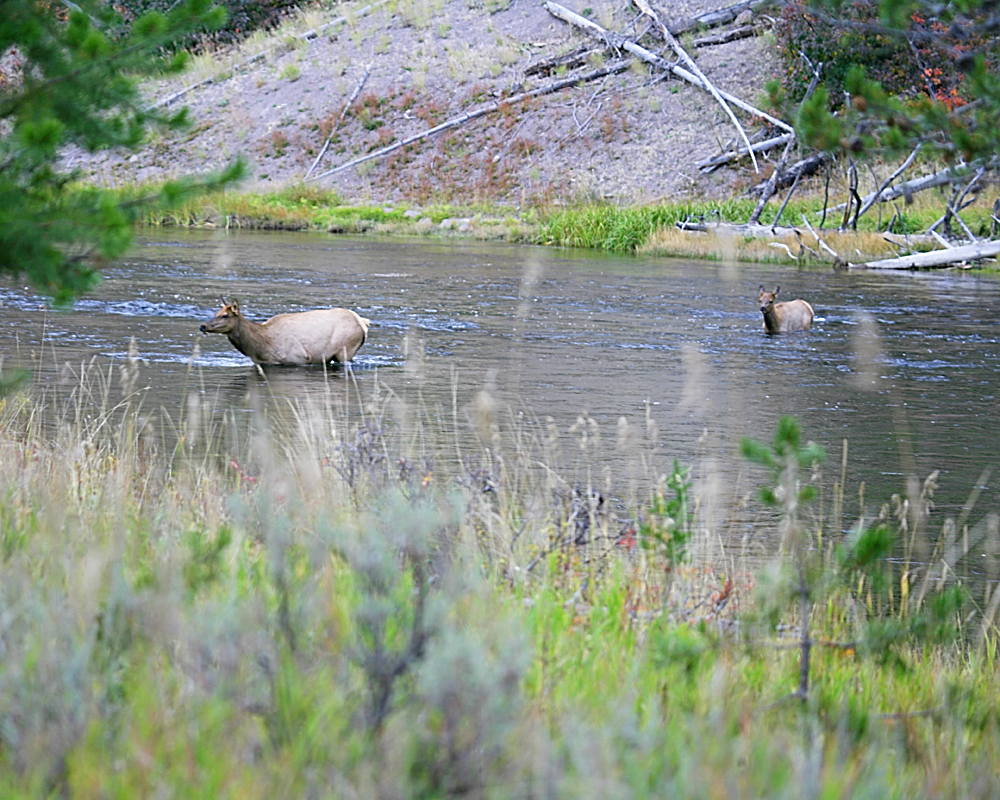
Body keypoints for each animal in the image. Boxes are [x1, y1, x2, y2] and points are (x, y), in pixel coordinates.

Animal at [202, 296, 372, 366]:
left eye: (225, 316)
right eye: (216, 312)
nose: (202, 326)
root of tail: (363, 322)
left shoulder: (300, 358)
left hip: (346, 350)